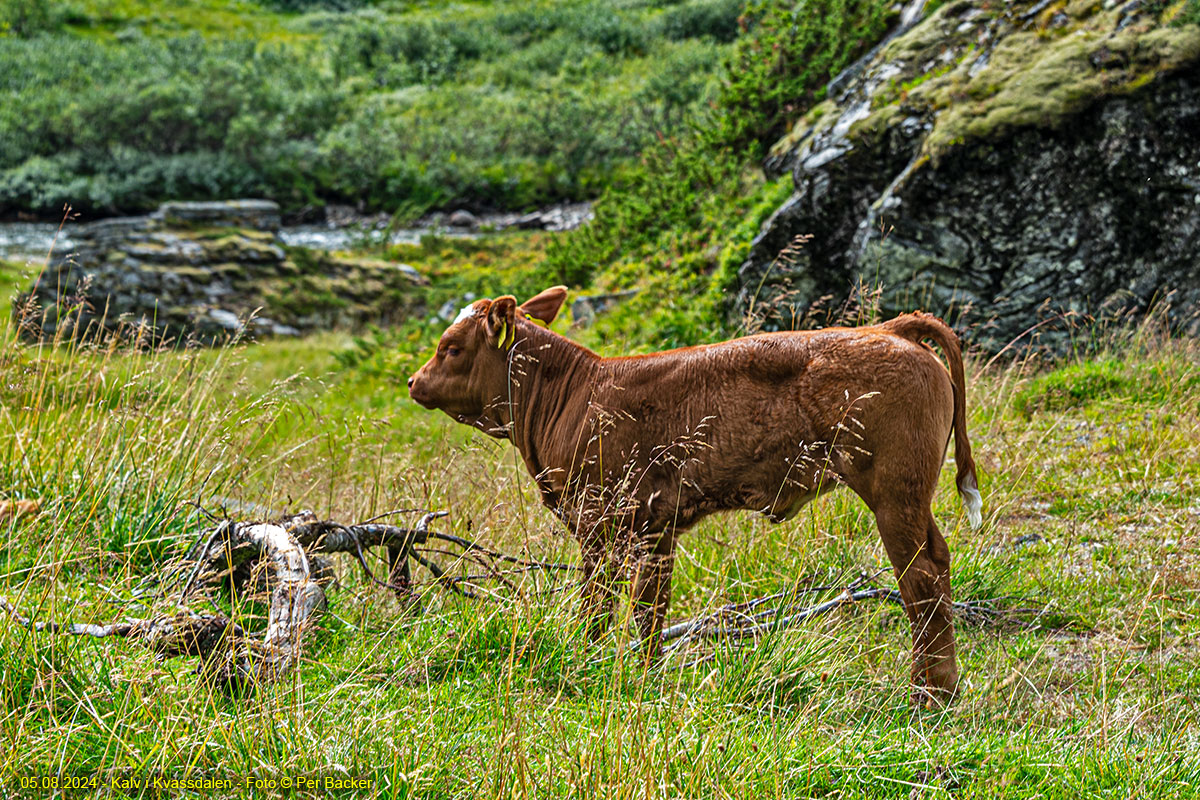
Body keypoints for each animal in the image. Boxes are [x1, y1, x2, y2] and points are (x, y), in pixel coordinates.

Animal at [408, 287, 979, 700]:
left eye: (451, 347)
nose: (414, 381)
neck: (576, 393)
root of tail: (888, 328)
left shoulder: (599, 521)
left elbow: (598, 603)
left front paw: (587, 659)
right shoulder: (657, 528)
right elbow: (650, 610)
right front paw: (647, 675)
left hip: (894, 495)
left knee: (921, 579)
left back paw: (928, 694)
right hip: (910, 498)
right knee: (937, 565)